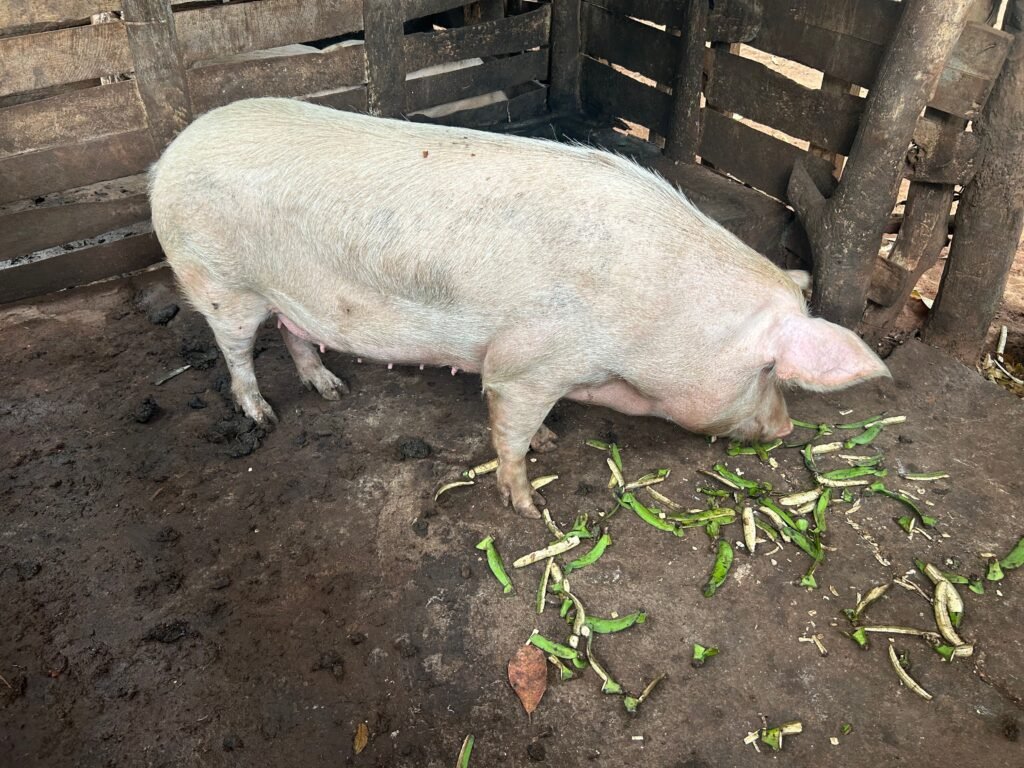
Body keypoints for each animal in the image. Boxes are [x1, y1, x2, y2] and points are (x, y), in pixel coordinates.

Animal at [149, 97, 889, 518]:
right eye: (768, 371)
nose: (786, 427)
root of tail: (168, 156)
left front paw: (552, 443)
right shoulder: (526, 360)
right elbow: (509, 426)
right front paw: (528, 508)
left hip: (286, 296)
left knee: (297, 335)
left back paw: (331, 390)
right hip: (217, 280)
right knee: (236, 350)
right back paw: (263, 416)